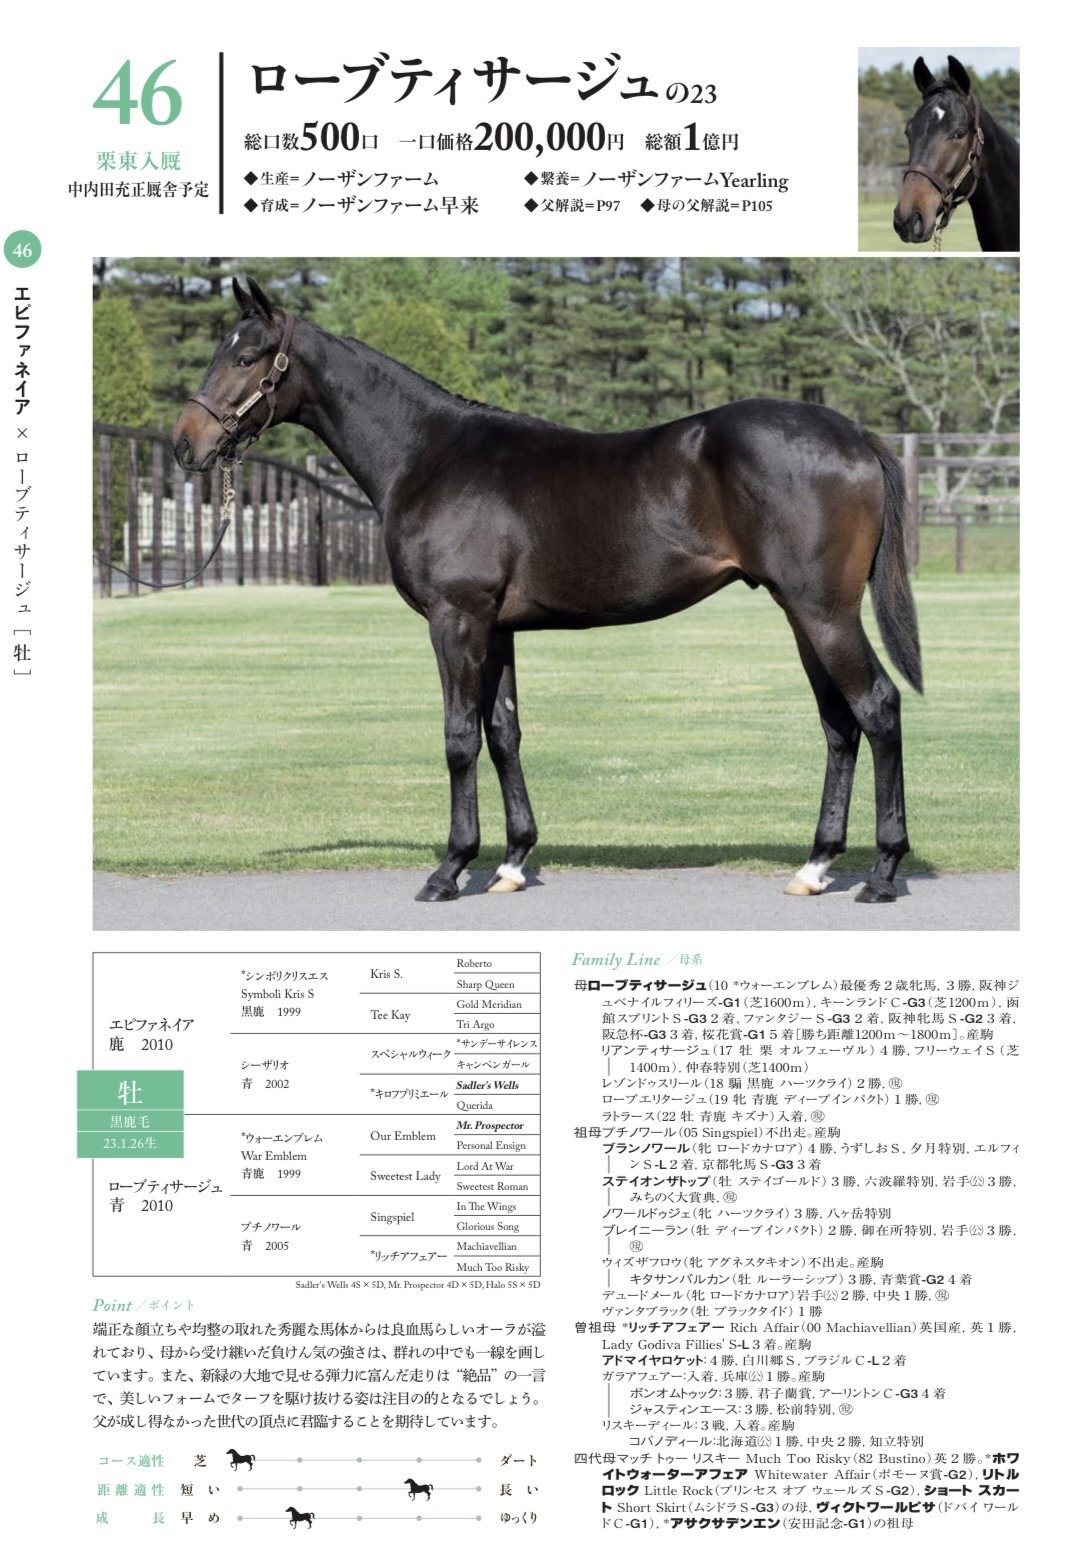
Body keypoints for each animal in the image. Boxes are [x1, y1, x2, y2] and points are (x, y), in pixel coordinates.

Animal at [173, 277, 923, 906]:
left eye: (249, 355)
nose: (186, 444)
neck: (429, 455)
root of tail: (855, 434)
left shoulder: (456, 620)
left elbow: (458, 737)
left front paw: (449, 869)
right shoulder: (496, 628)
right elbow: (503, 733)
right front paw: (510, 863)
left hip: (822, 612)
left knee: (877, 707)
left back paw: (883, 873)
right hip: (803, 614)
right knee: (838, 724)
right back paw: (815, 866)